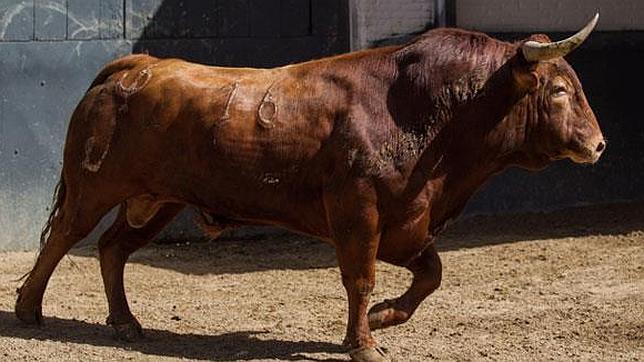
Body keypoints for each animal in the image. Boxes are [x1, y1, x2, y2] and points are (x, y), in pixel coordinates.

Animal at [15, 12, 604, 360]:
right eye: (557, 89)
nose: (598, 145)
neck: (424, 110)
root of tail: (133, 65)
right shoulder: (357, 212)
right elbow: (359, 278)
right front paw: (363, 343)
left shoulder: (407, 223)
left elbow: (431, 274)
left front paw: (383, 317)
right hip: (94, 188)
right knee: (63, 239)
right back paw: (28, 312)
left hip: (156, 201)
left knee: (113, 249)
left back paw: (125, 323)